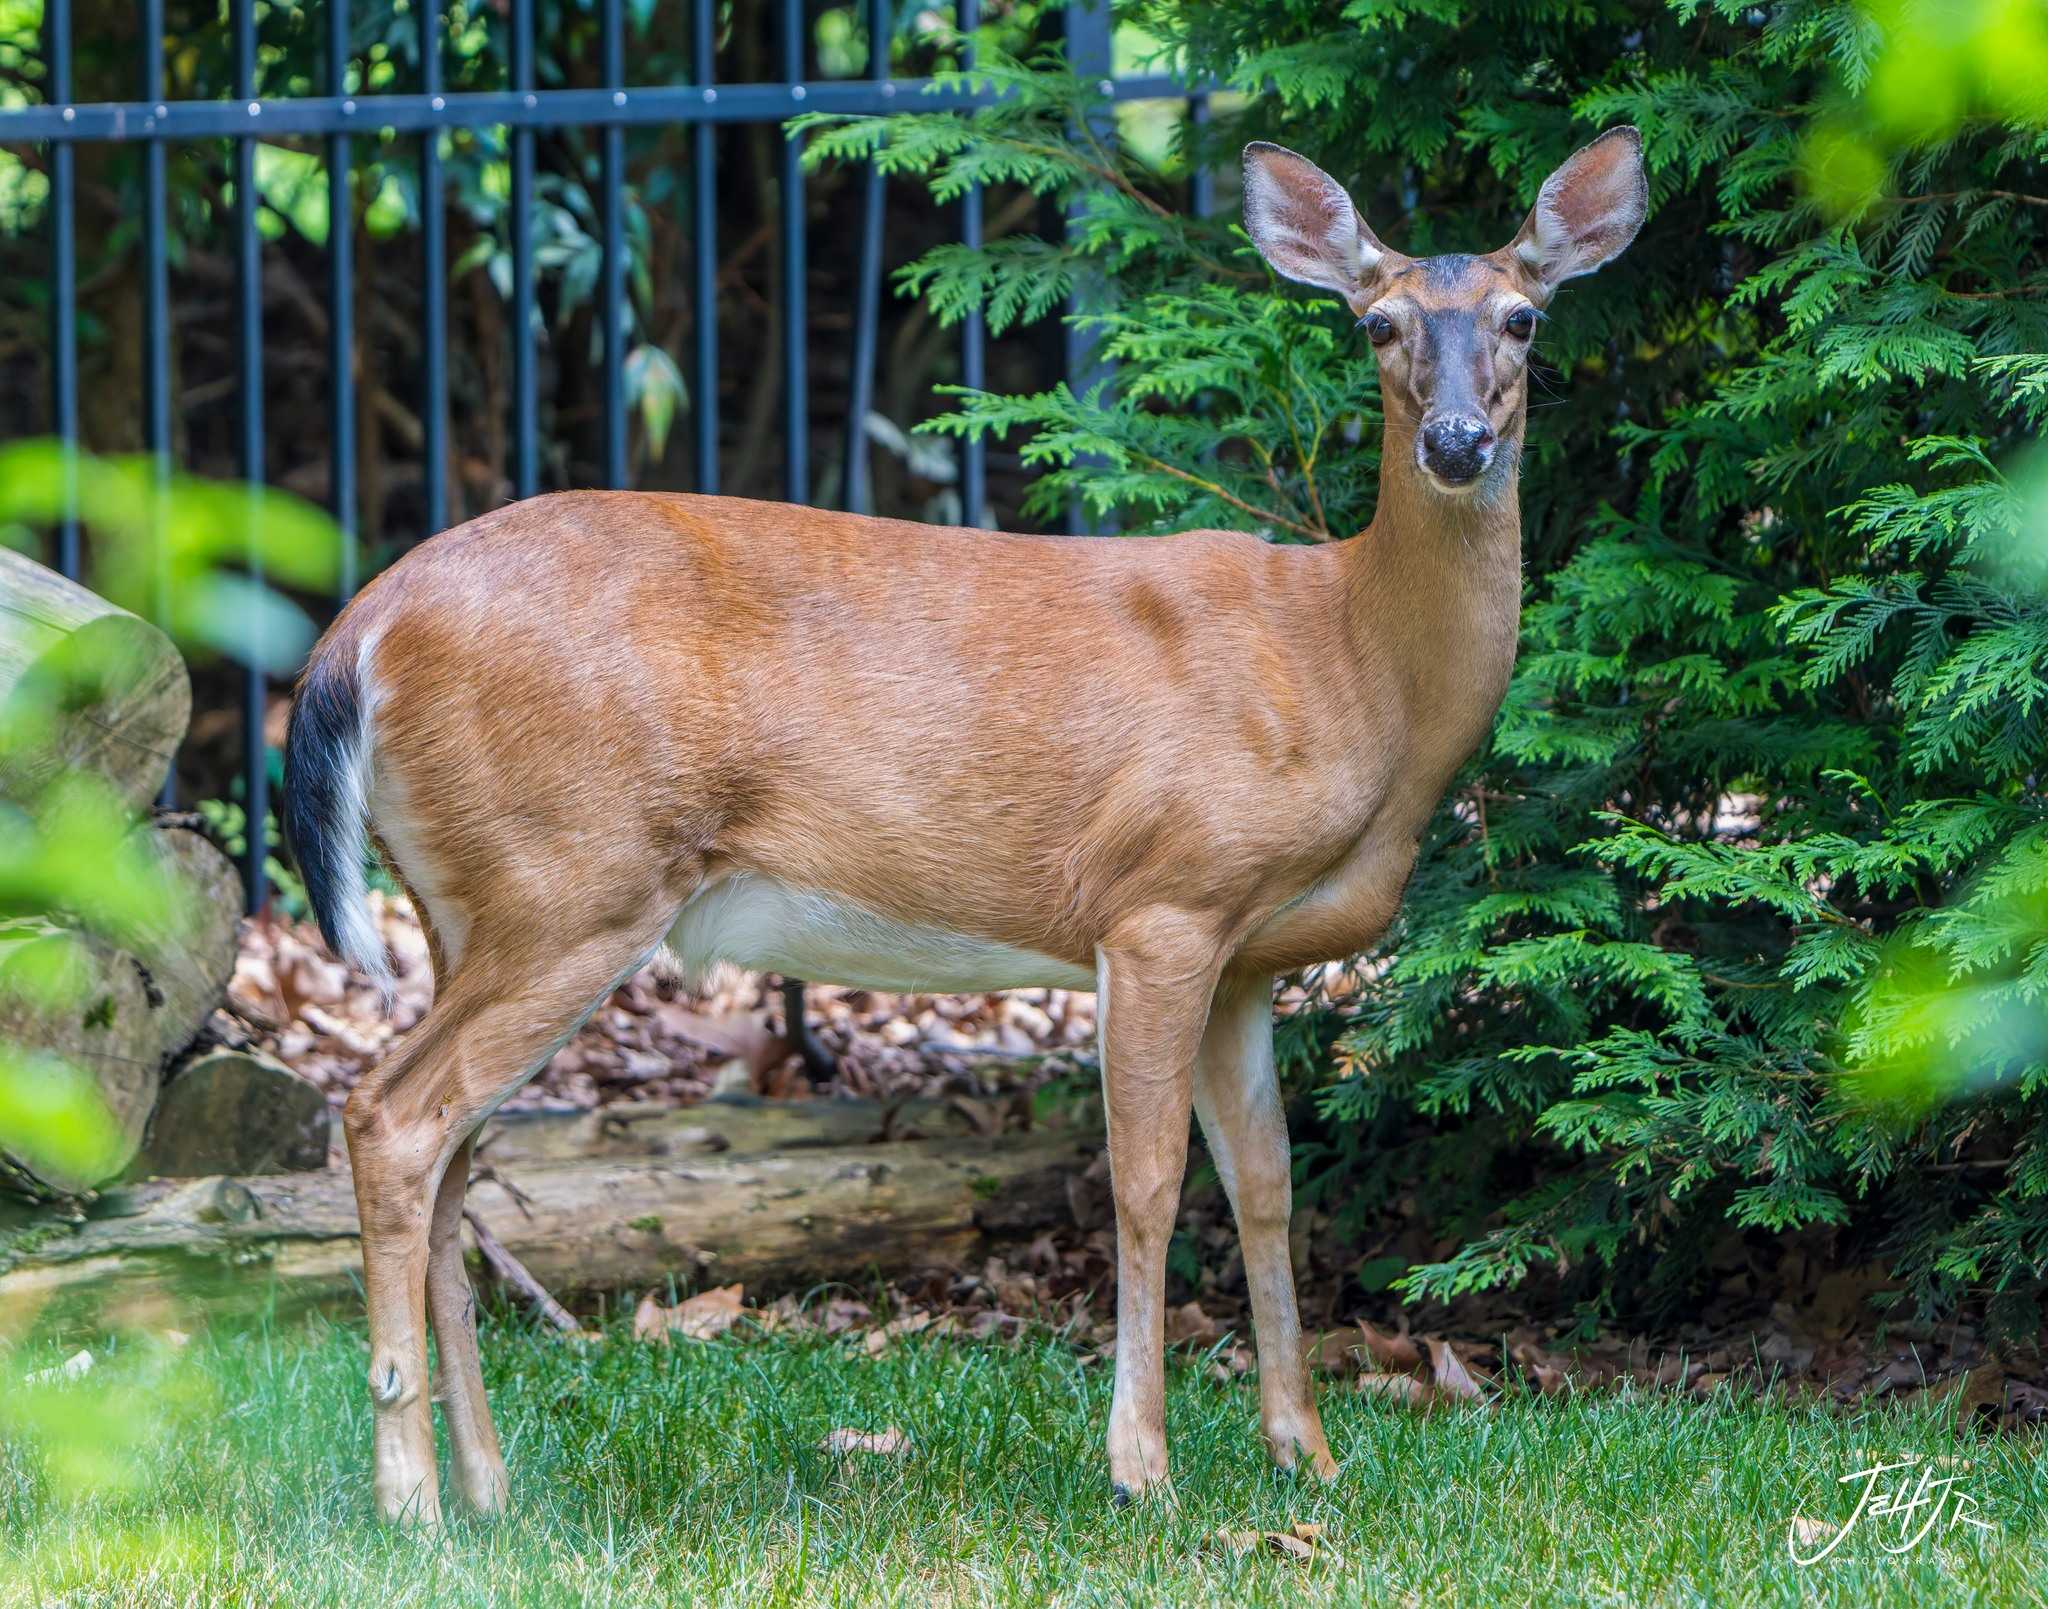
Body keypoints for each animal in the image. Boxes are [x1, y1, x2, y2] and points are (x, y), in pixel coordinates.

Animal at [283, 127, 1646, 1525]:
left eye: (1523, 317)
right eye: (1376, 324)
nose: (1456, 440)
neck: (1350, 664)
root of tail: (360, 631)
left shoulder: (1248, 957)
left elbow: (1266, 1184)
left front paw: (1302, 1452)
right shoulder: (1162, 900)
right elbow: (1148, 1180)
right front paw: (1142, 1468)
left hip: (479, 898)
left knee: (452, 1152)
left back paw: (487, 1488)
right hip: (571, 878)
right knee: (390, 1118)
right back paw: (409, 1496)